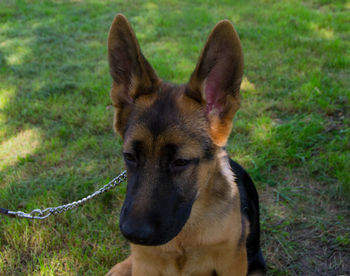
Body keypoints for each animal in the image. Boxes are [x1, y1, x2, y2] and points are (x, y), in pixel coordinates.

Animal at [106, 13, 266, 276]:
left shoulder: (232, 263)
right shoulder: (145, 264)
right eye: (129, 156)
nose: (133, 235)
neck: (184, 238)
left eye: (180, 161)